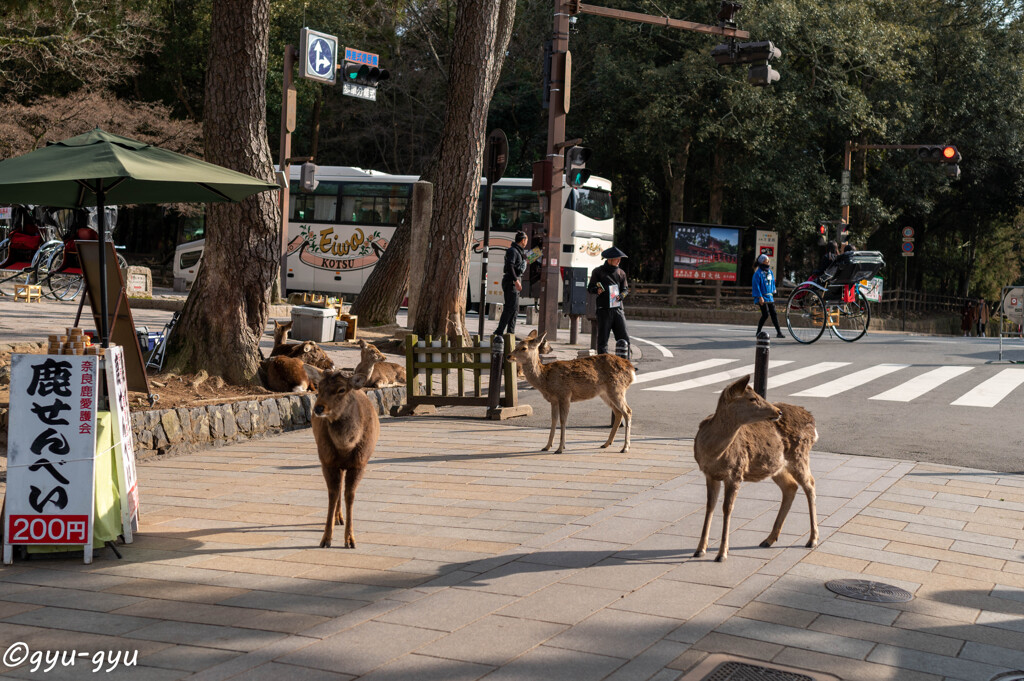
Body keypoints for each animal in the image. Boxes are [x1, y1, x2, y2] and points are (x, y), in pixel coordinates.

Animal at [311, 366, 380, 548]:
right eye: (318, 387)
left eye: (341, 389)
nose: (318, 408)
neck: (345, 446)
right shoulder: (327, 462)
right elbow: (333, 494)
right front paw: (326, 539)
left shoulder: (359, 464)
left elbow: (350, 496)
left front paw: (350, 540)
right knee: (339, 486)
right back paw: (337, 518)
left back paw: (340, 519)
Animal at [692, 374, 819, 561]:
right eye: (752, 398)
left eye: (759, 395)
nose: (778, 412)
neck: (713, 454)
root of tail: (812, 420)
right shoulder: (709, 473)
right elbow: (710, 505)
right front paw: (700, 549)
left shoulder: (736, 472)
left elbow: (727, 508)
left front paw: (722, 553)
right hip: (777, 466)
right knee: (790, 486)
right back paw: (769, 539)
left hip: (799, 455)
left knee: (810, 484)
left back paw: (812, 539)